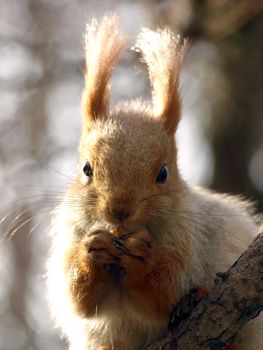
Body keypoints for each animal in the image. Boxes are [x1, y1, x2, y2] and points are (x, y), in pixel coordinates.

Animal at [47, 12, 263, 350]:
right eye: (86, 169)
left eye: (163, 173)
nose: (120, 211)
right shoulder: (70, 233)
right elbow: (79, 299)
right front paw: (93, 250)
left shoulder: (189, 241)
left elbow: (163, 291)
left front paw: (143, 258)